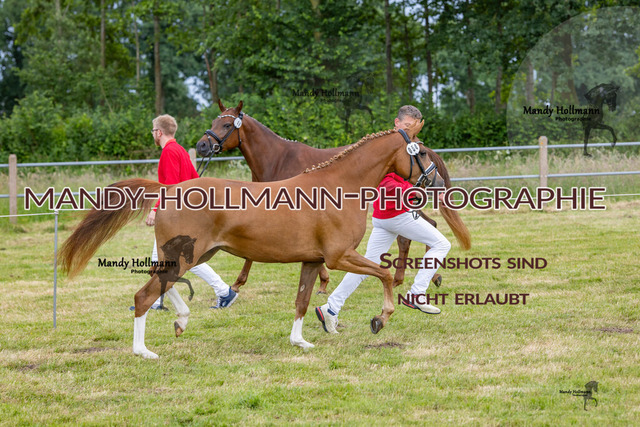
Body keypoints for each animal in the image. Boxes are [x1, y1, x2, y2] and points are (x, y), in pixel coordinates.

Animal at [59, 125, 444, 359]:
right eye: (422, 152)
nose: (437, 182)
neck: (337, 187)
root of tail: (169, 190)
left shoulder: (313, 261)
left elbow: (303, 301)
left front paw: (300, 340)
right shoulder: (339, 256)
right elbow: (383, 274)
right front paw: (381, 318)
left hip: (195, 255)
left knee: (160, 284)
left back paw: (181, 320)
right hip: (186, 256)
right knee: (144, 295)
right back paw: (145, 350)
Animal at [196, 100, 471, 294]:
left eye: (227, 125)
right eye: (214, 121)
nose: (201, 146)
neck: (279, 159)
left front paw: (238, 283)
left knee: (419, 231)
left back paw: (421, 277)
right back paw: (424, 277)